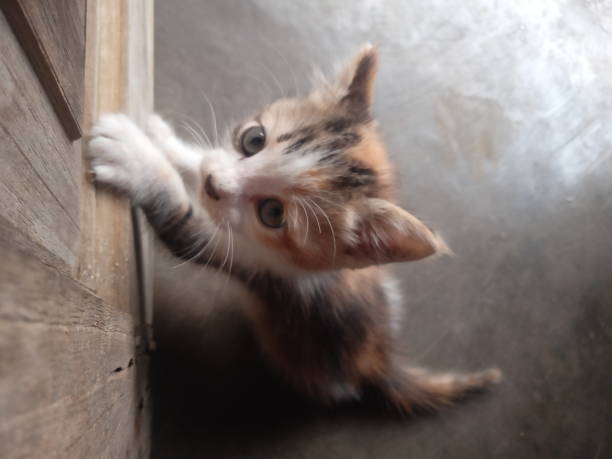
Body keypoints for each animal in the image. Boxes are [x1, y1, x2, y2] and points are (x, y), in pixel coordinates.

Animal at [88, 45, 500, 414]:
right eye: (253, 139)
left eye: (273, 213)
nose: (213, 185)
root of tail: (379, 362)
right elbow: (204, 158)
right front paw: (168, 140)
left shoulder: (253, 264)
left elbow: (179, 216)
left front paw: (133, 155)